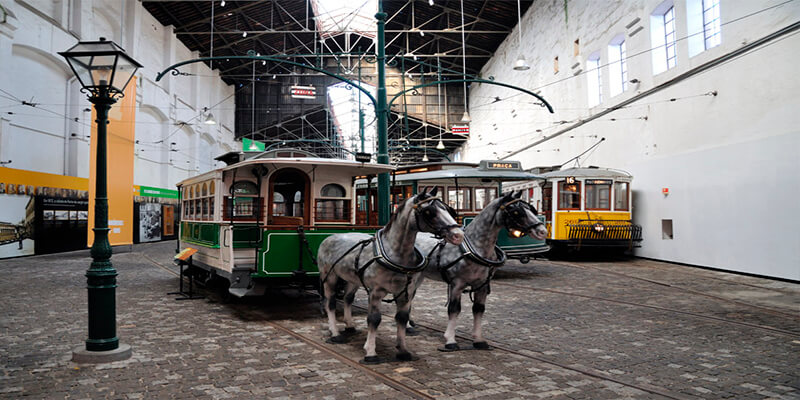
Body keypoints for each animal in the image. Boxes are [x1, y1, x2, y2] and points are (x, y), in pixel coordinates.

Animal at [318, 187, 462, 362]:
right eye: (429, 211)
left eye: (448, 209)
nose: (458, 235)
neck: (396, 253)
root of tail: (329, 237)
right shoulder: (375, 292)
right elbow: (374, 319)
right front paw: (370, 352)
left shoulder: (406, 292)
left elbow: (402, 318)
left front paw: (403, 350)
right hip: (329, 278)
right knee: (330, 303)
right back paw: (335, 333)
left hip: (353, 280)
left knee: (347, 299)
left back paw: (350, 325)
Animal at [412, 191, 552, 350]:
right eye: (516, 212)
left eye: (531, 209)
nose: (543, 231)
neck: (475, 247)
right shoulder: (457, 284)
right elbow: (454, 309)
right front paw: (450, 340)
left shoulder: (482, 285)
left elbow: (478, 309)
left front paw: (478, 340)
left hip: (420, 276)